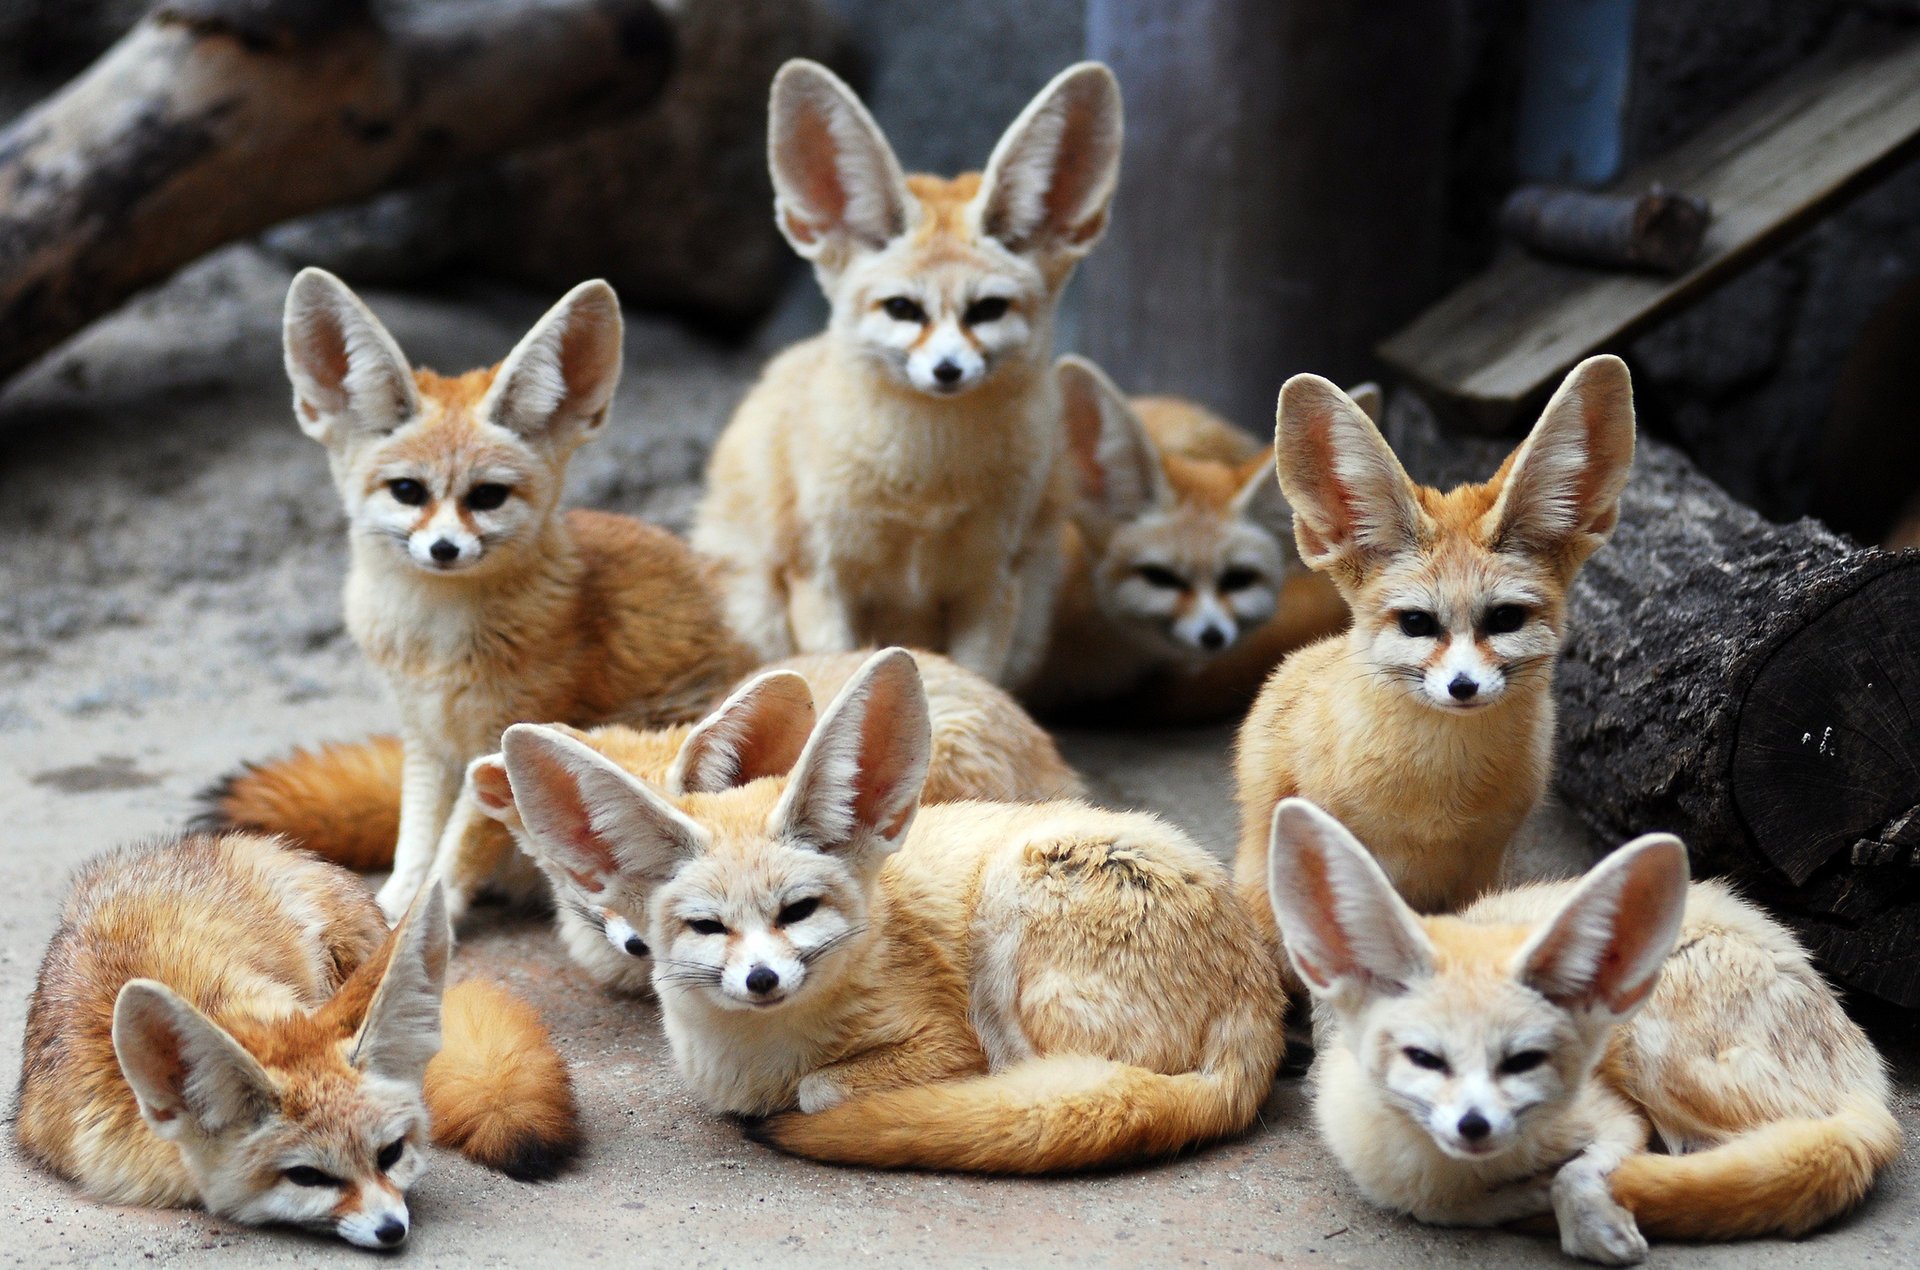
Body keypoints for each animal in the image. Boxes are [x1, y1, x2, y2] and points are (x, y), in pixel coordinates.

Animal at [281, 267, 752, 921]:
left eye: (487, 497)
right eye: (407, 491)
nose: (444, 549)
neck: (434, 642)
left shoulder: (502, 739)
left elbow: (456, 849)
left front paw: (429, 913)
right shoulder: (424, 738)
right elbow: (414, 838)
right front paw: (395, 904)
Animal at [691, 59, 1123, 688]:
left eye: (987, 310)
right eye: (902, 309)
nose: (947, 369)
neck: (926, 486)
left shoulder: (991, 584)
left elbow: (978, 680)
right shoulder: (819, 580)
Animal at [1264, 798, 1901, 1263]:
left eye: (1523, 1060)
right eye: (1425, 1058)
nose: (1474, 1125)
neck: (1472, 1170)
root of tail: (1871, 1090)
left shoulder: (1618, 1116)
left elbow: (1577, 1172)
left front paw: (1587, 1216)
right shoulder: (1401, 1182)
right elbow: (1455, 1207)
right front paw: (1536, 1199)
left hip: (1654, 1056)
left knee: (1724, 1154)